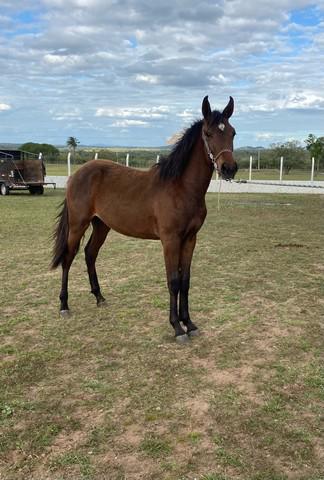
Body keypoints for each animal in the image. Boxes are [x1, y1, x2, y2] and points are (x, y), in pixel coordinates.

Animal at [51, 95, 238, 342]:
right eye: (208, 133)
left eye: (233, 133)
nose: (229, 168)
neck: (181, 188)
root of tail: (76, 175)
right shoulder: (170, 240)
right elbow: (173, 281)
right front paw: (177, 328)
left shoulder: (190, 239)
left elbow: (186, 281)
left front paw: (190, 324)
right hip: (77, 225)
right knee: (68, 258)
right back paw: (64, 306)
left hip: (101, 225)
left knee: (90, 254)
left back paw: (99, 298)